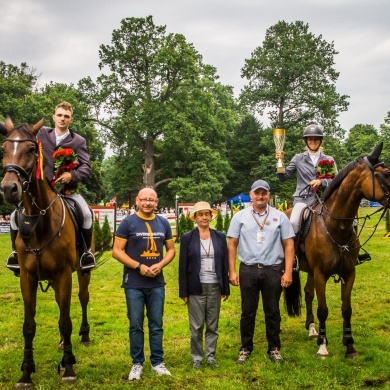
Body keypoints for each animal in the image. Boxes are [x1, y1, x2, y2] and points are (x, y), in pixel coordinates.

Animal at [0, 117, 91, 388]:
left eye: (31, 149)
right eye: (3, 149)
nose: (9, 189)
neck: (38, 220)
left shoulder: (63, 275)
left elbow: (65, 320)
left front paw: (69, 367)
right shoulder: (28, 278)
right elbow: (29, 325)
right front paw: (26, 372)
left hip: (82, 272)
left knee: (82, 299)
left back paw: (83, 336)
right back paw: (61, 343)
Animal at [284, 142, 390, 356]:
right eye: (385, 174)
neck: (335, 226)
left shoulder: (348, 273)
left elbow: (346, 309)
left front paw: (349, 345)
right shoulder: (321, 273)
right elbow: (323, 309)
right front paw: (323, 346)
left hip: (310, 270)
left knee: (308, 293)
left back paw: (311, 328)